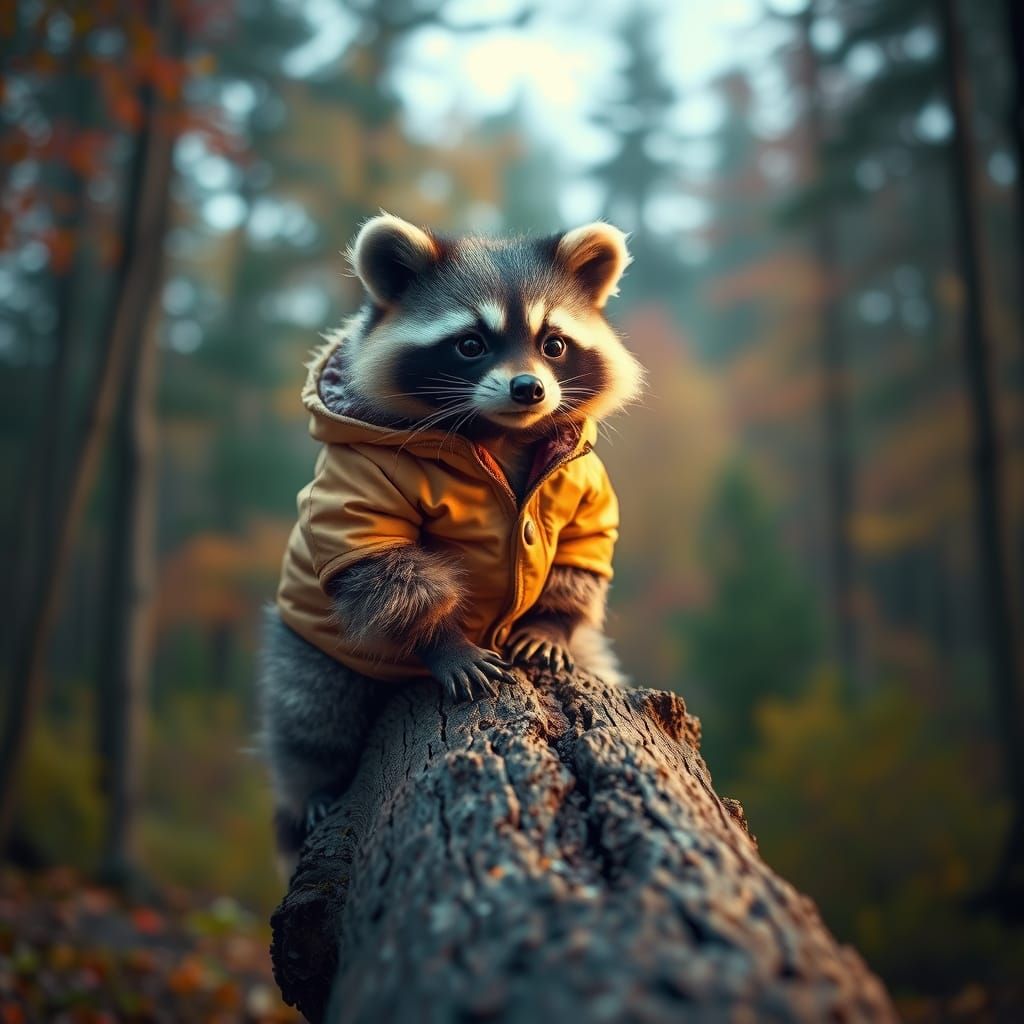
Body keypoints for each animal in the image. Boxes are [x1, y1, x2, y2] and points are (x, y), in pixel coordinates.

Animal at [261, 214, 643, 868]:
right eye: (470, 344)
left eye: (554, 344)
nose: (528, 389)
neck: (500, 436)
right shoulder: (362, 482)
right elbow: (388, 567)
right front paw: (444, 641)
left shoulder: (580, 481)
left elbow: (583, 546)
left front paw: (551, 622)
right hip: (311, 649)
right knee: (313, 714)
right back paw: (315, 787)